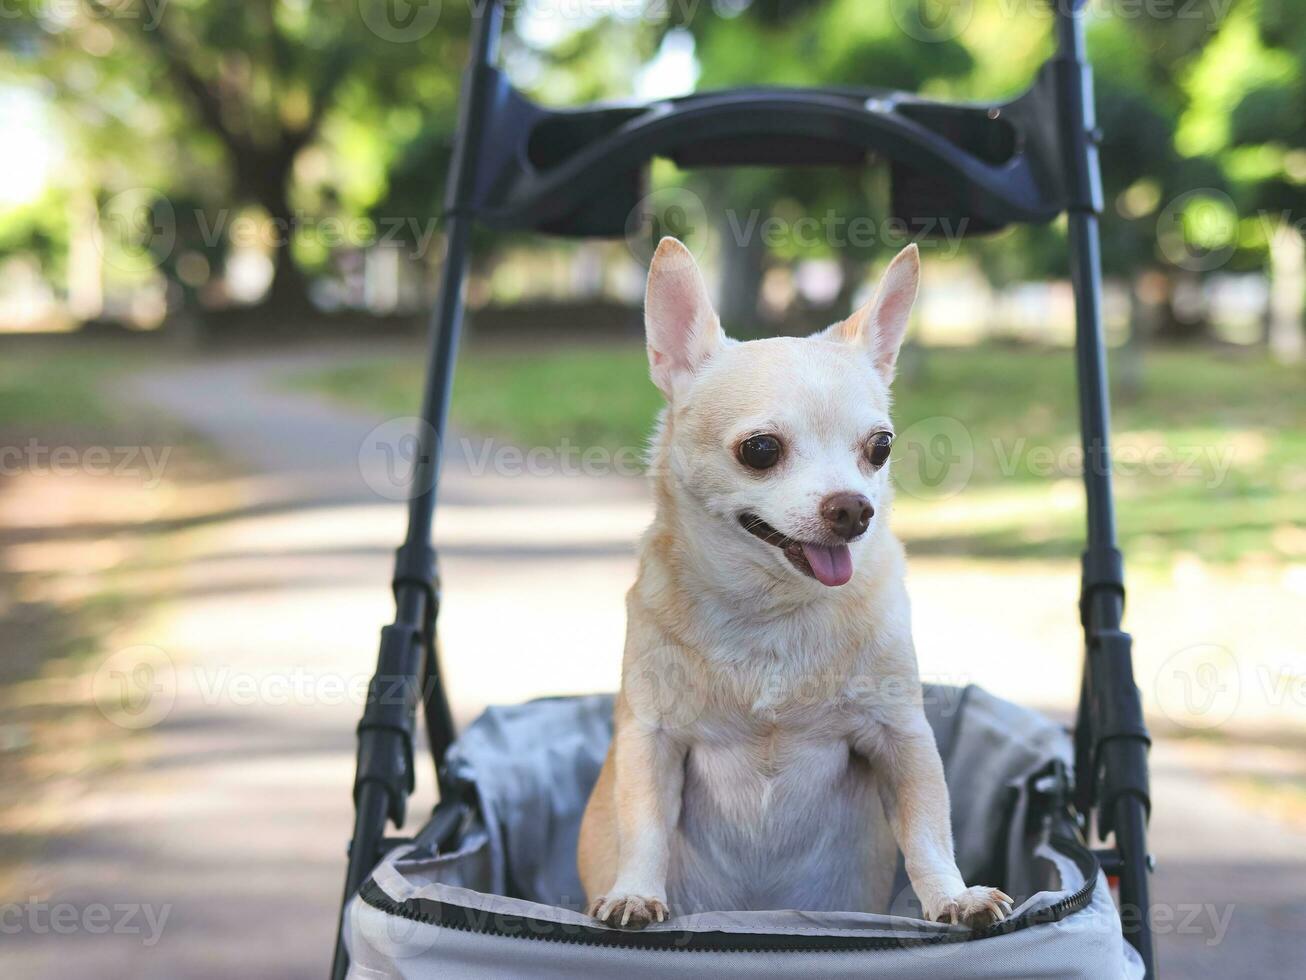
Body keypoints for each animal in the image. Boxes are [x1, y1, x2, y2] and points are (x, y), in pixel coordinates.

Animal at [577, 237, 1013, 930]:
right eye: (760, 450)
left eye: (881, 447)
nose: (855, 508)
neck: (773, 611)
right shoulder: (652, 740)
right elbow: (643, 825)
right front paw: (635, 893)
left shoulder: (903, 737)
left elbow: (927, 829)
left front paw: (954, 895)